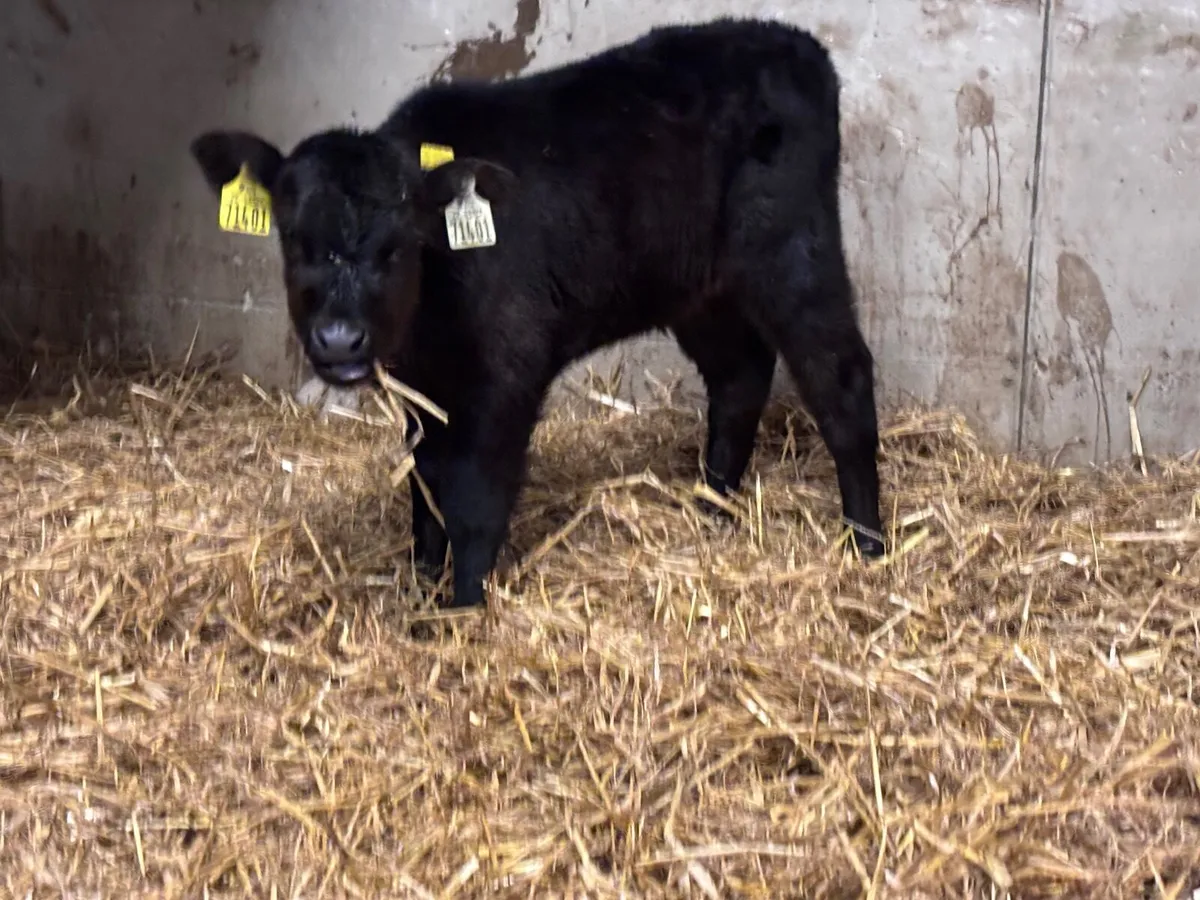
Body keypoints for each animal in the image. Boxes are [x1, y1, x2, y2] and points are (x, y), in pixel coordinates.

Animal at [190, 16, 887, 611]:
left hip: (795, 250)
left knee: (840, 378)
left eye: (398, 246)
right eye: (293, 240)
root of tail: (796, 43)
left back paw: (867, 542)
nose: (339, 341)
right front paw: (422, 586)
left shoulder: (507, 373)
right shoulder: (428, 388)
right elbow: (426, 488)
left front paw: (462, 610)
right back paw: (712, 507)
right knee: (740, 376)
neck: (432, 314)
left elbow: (475, 498)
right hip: (696, 287)